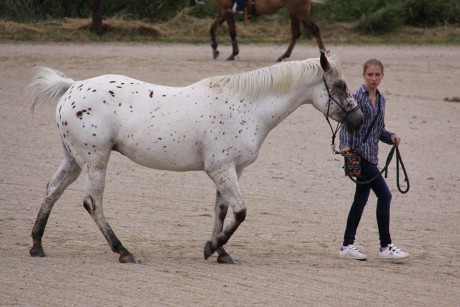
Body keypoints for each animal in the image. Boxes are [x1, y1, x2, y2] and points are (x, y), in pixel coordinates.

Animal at [27, 52, 362, 264]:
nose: (359, 119)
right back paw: (123, 251)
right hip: (94, 161)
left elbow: (223, 211)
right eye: (340, 85)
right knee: (92, 203)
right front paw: (211, 248)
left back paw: (37, 245)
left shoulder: (232, 170)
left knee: (52, 191)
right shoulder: (221, 169)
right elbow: (241, 211)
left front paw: (221, 253)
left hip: (74, 160)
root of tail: (73, 87)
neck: (247, 105)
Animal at [190, 0, 328, 61]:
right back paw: (283, 56)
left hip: (299, 11)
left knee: (314, 29)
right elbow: (212, 28)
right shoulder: (224, 12)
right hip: (294, 12)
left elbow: (232, 32)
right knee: (296, 33)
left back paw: (324, 53)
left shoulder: (227, 11)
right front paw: (215, 50)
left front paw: (233, 53)